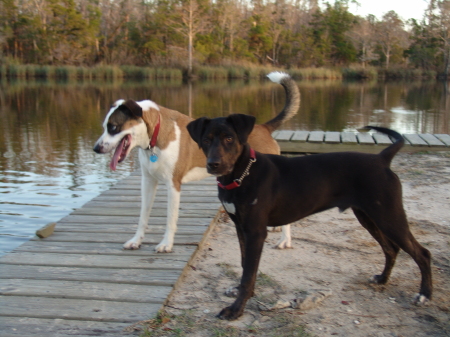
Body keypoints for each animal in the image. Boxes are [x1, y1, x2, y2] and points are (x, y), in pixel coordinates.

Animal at [93, 72, 300, 251]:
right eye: (104, 126)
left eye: (113, 127)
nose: (96, 148)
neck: (156, 135)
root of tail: (264, 127)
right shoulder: (148, 182)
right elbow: (143, 216)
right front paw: (136, 241)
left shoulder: (173, 185)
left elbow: (170, 218)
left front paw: (166, 244)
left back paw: (285, 240)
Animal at [186, 114, 432, 318]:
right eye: (206, 139)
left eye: (229, 138)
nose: (214, 164)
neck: (242, 174)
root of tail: (381, 159)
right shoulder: (240, 227)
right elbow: (245, 265)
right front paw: (242, 294)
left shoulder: (255, 232)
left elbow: (248, 274)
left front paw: (236, 309)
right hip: (368, 216)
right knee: (391, 249)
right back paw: (382, 278)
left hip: (389, 216)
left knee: (422, 253)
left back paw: (424, 295)